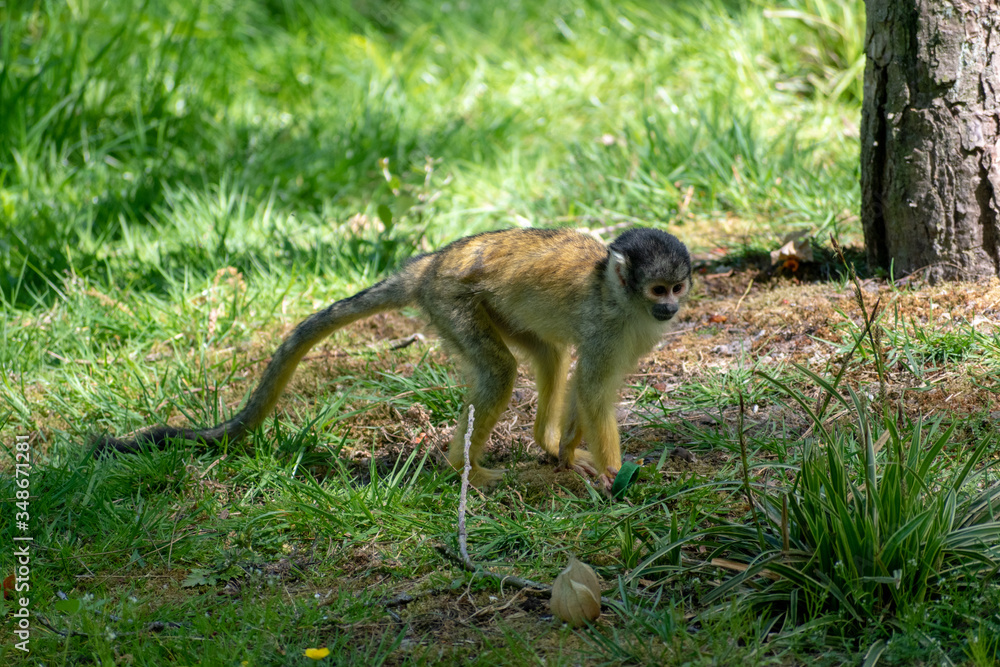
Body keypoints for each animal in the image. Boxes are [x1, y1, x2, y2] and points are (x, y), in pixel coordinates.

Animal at [96, 226, 692, 489]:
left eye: (677, 287)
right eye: (657, 288)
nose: (671, 308)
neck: (616, 293)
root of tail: (429, 265)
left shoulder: (632, 332)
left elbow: (592, 388)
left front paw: (568, 453)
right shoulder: (607, 324)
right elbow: (592, 390)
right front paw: (614, 473)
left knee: (546, 353)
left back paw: (543, 444)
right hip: (452, 300)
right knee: (500, 370)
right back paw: (465, 468)